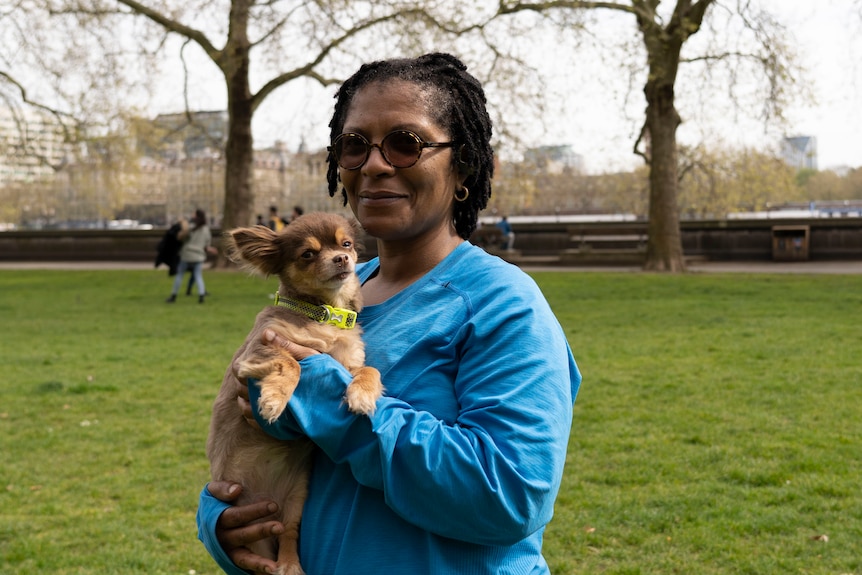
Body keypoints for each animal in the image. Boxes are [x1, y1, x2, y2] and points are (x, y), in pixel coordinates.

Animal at [208, 214, 384, 575]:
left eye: (346, 244)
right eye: (307, 254)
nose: (341, 259)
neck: (325, 316)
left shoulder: (350, 362)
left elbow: (370, 370)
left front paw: (362, 395)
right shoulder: (258, 352)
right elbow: (292, 364)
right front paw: (273, 401)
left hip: (296, 501)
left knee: (288, 534)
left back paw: (289, 564)